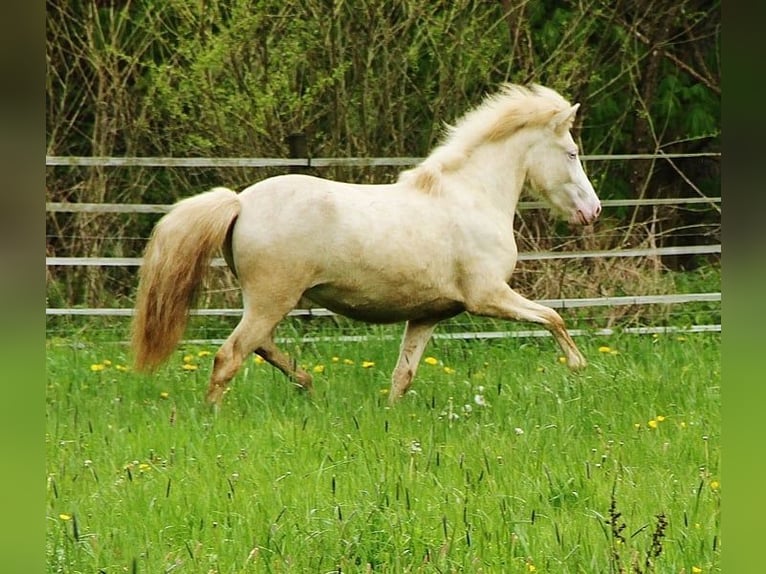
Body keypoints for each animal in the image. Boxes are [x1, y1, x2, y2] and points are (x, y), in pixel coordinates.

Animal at [132, 83, 604, 408]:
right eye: (571, 153)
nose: (593, 210)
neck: (469, 195)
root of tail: (240, 202)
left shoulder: (428, 315)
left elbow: (403, 375)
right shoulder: (488, 296)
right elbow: (554, 317)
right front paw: (579, 368)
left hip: (268, 303)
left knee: (260, 347)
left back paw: (307, 383)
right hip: (271, 299)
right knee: (230, 356)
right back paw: (214, 416)